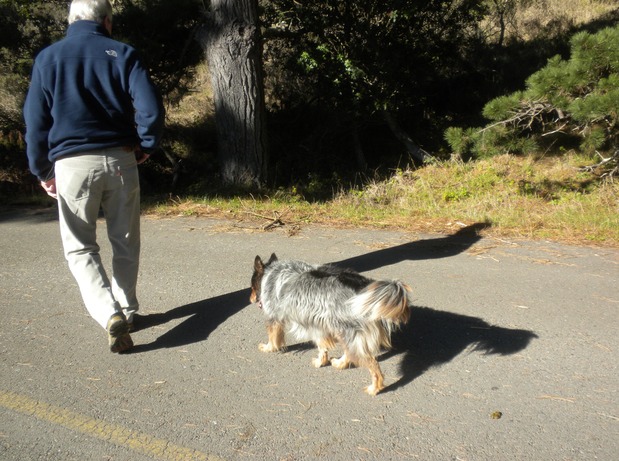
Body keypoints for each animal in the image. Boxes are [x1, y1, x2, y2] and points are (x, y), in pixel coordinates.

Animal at [249, 253, 414, 394]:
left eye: (251, 286)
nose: (250, 299)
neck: (271, 273)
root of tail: (363, 286)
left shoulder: (274, 317)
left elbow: (273, 338)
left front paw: (268, 348)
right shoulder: (317, 325)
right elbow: (322, 347)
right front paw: (321, 362)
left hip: (348, 331)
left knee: (373, 366)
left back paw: (374, 388)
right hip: (343, 330)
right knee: (349, 352)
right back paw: (340, 363)